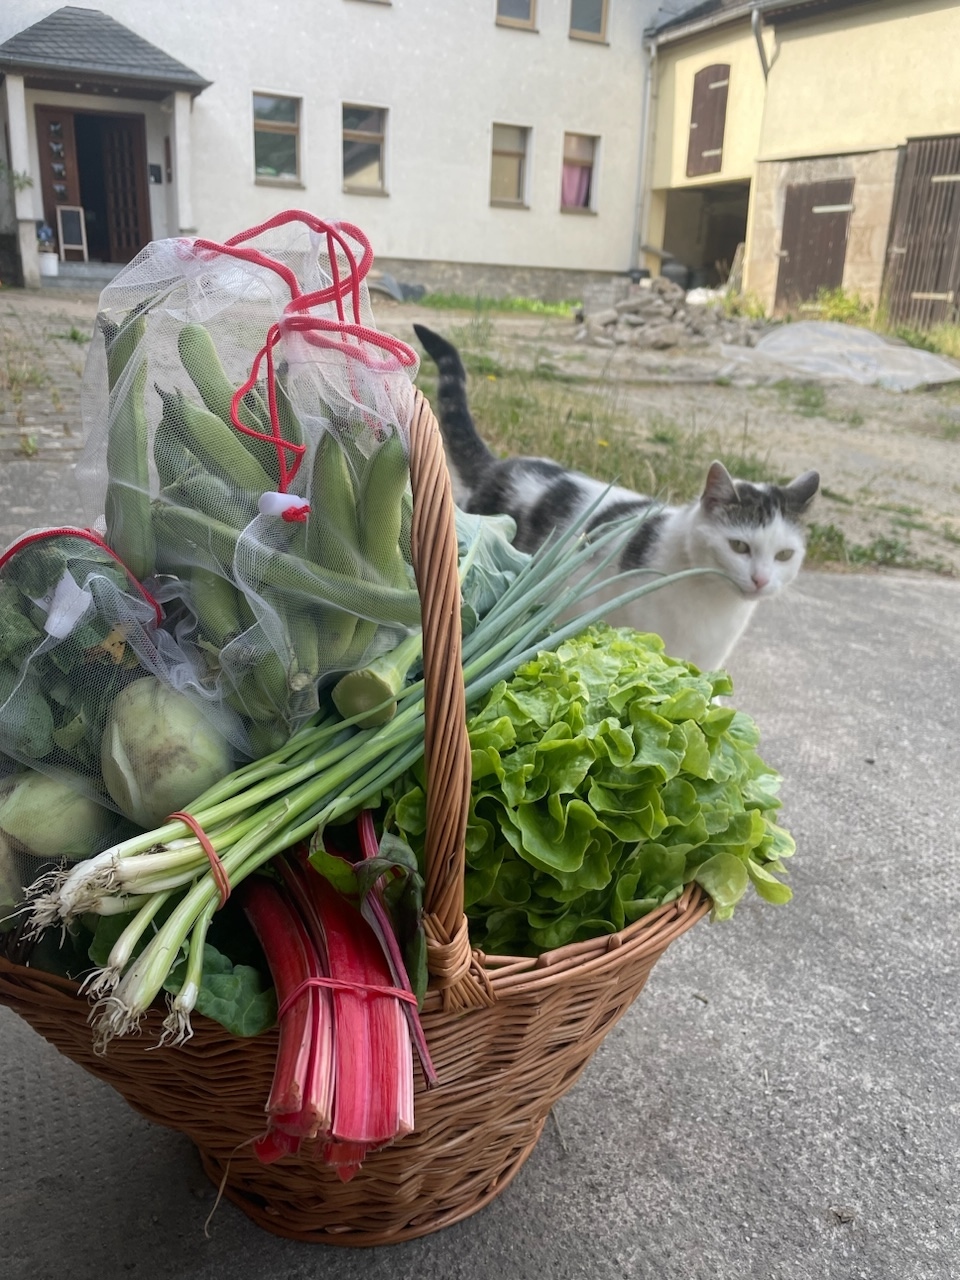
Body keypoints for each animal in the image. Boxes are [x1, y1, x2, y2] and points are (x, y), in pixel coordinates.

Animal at [414, 325, 819, 675]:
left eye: (785, 555)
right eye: (739, 546)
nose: (760, 581)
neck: (717, 604)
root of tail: (498, 466)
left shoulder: (706, 662)